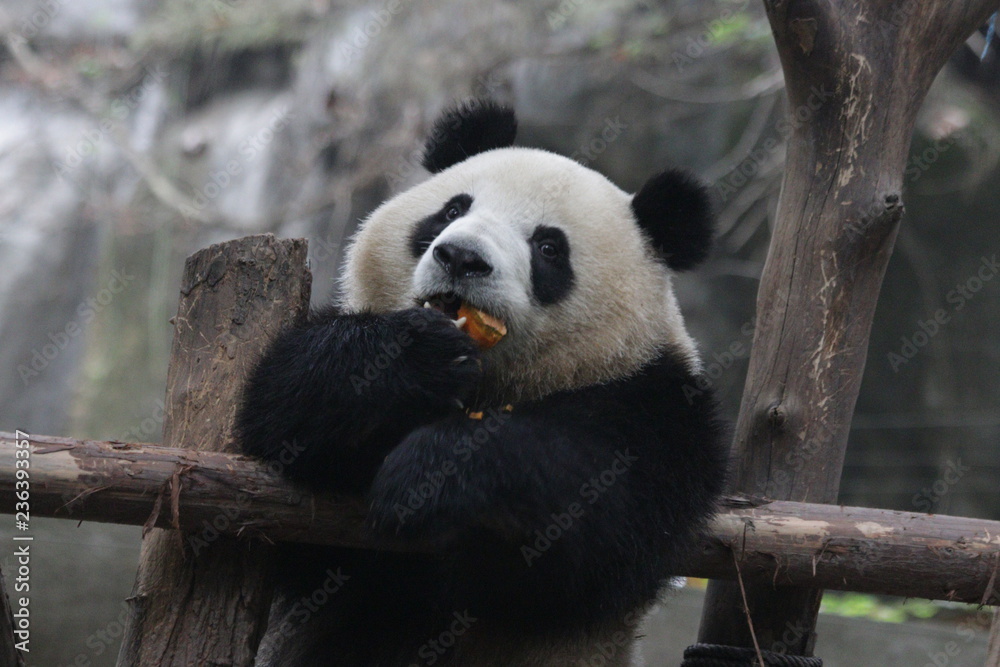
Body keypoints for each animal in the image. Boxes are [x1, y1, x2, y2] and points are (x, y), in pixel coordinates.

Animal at [235, 100, 727, 667]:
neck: (497, 380)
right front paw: (413, 356)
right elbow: (282, 411)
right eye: (452, 210)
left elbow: (598, 518)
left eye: (548, 247)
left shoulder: (661, 405)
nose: (462, 257)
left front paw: (432, 472)